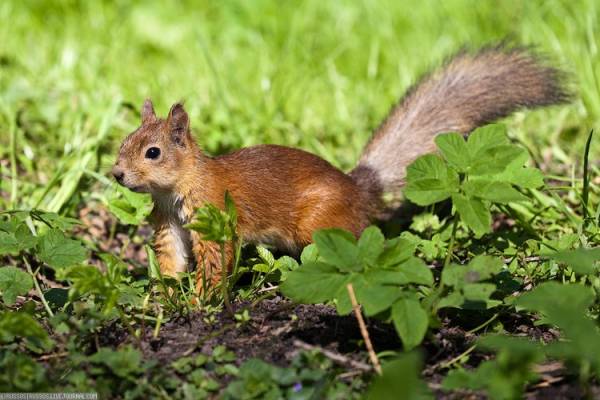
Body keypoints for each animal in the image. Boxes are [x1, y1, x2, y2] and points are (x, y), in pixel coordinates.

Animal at [113, 45, 572, 290]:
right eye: (122, 144)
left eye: (152, 152)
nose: (117, 174)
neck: (178, 187)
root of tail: (358, 190)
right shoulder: (170, 224)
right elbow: (172, 260)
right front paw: (165, 295)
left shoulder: (214, 218)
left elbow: (214, 263)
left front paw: (199, 303)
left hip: (318, 223)